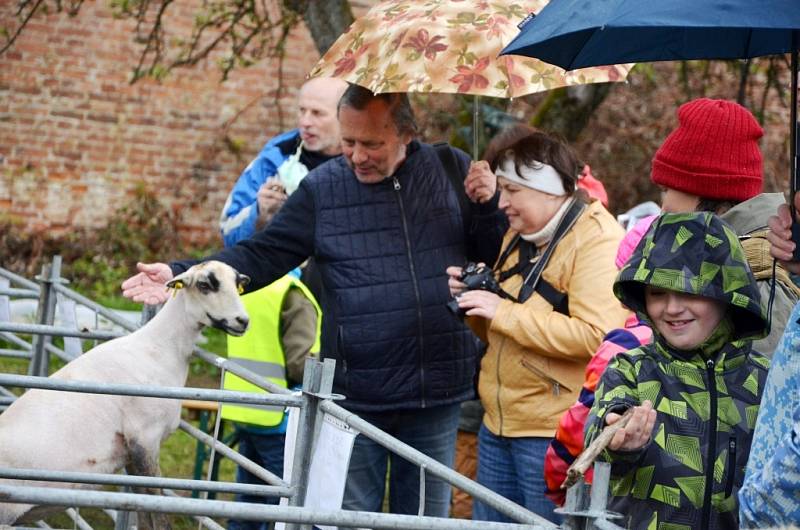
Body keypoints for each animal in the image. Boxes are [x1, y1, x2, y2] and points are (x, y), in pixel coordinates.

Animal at [0, 258, 248, 524]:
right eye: (204, 285)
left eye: (237, 284)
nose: (243, 321)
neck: (160, 349)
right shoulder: (144, 438)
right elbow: (158, 513)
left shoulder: (131, 454)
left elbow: (143, 513)